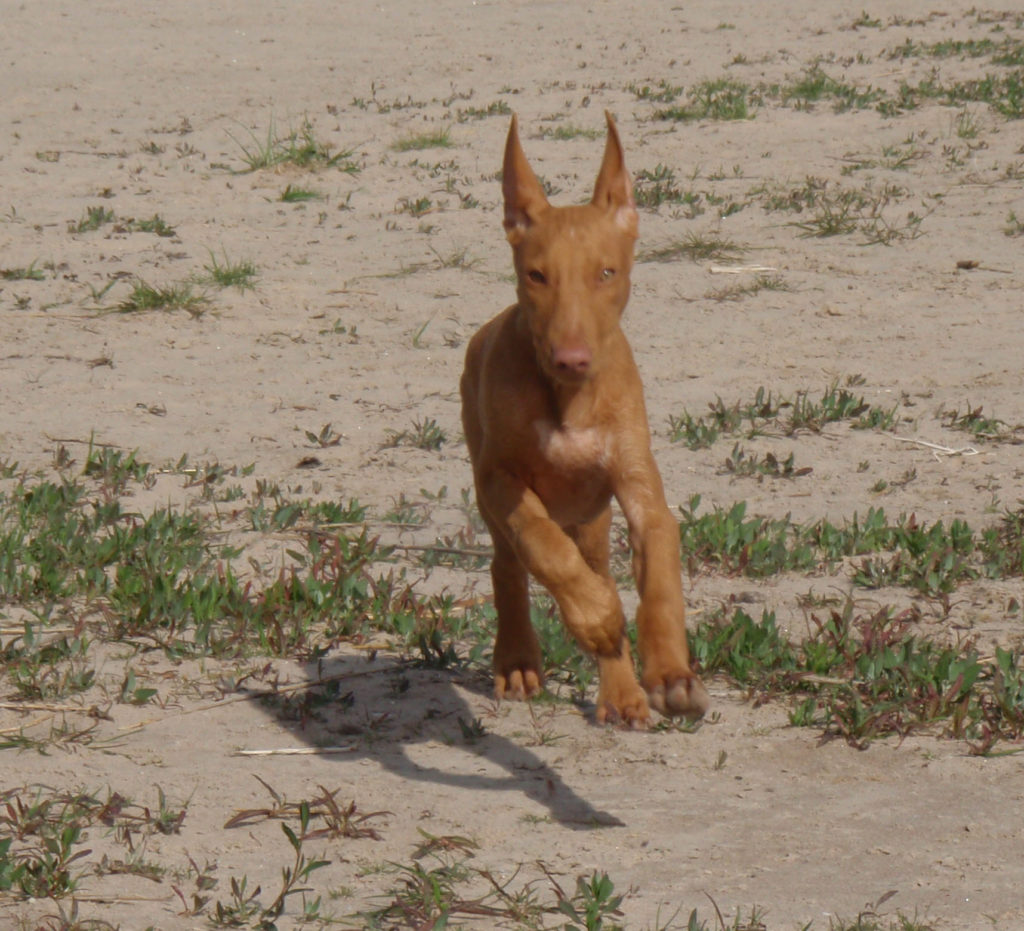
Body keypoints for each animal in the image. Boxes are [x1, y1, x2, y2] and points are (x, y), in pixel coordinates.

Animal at [460, 110, 708, 725]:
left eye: (606, 273)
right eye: (536, 276)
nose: (571, 358)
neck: (568, 399)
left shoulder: (640, 488)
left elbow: (660, 576)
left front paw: (671, 672)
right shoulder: (500, 480)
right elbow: (545, 548)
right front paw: (597, 617)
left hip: (594, 520)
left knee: (595, 563)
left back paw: (620, 690)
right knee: (510, 564)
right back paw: (519, 657)